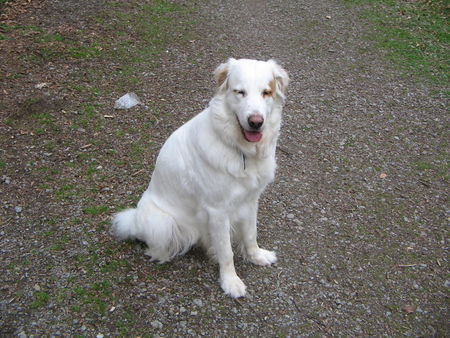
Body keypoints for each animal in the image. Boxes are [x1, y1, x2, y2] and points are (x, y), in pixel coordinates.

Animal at [111, 58, 288, 298]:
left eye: (266, 93)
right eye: (240, 92)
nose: (256, 122)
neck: (240, 150)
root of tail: (135, 219)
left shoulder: (251, 199)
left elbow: (251, 234)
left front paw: (257, 256)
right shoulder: (218, 210)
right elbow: (227, 252)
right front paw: (230, 282)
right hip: (163, 222)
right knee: (155, 246)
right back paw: (165, 254)